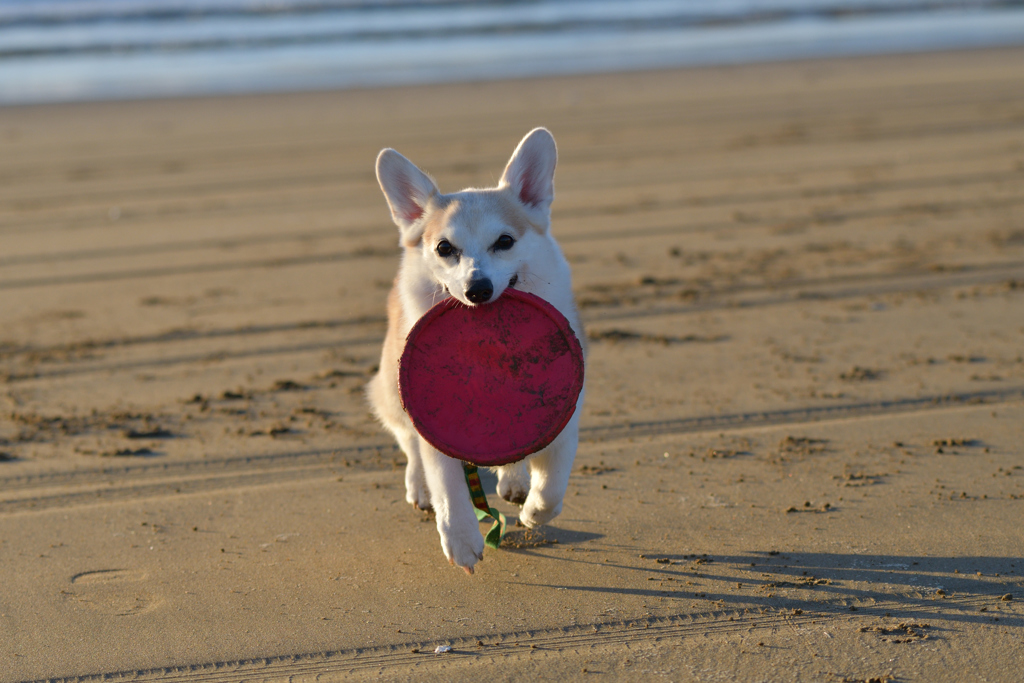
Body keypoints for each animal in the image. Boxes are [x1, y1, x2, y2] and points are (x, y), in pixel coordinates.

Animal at [366, 129, 585, 577]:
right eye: (444, 248)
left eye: (505, 242)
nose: (477, 289)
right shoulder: (432, 421)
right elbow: (448, 484)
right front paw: (462, 538)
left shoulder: (565, 415)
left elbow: (553, 486)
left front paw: (534, 511)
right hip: (390, 390)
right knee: (407, 441)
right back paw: (420, 486)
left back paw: (515, 481)